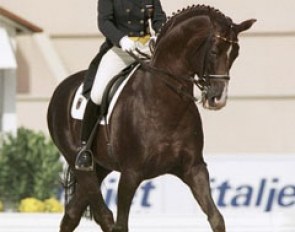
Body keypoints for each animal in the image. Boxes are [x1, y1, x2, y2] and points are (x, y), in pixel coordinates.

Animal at [47, 4, 256, 232]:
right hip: (80, 162)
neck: (164, 101)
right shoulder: (130, 175)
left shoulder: (194, 168)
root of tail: (62, 87)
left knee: (73, 212)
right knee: (103, 214)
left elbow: (216, 218)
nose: (218, 99)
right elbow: (121, 224)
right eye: (214, 51)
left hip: (101, 167)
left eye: (235, 54)